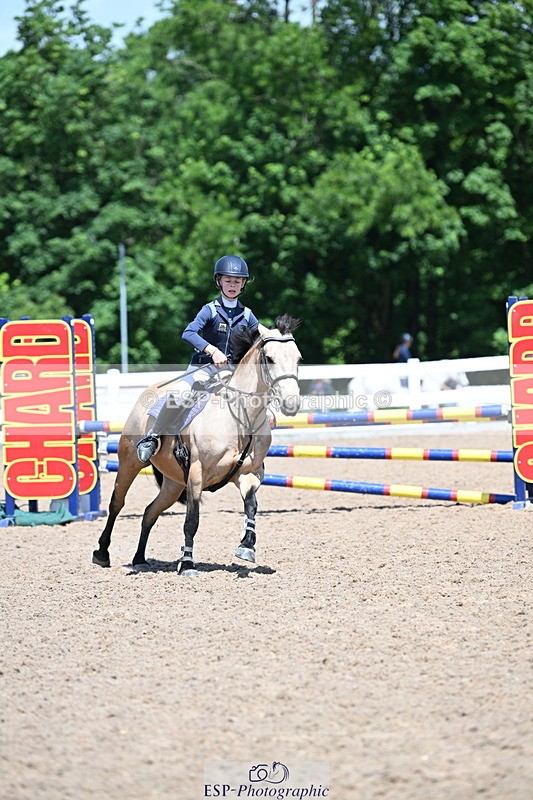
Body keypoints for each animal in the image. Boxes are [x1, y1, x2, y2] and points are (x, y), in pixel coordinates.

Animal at [92, 315, 301, 575]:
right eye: (270, 358)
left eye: (298, 359)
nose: (292, 404)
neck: (241, 417)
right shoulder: (196, 474)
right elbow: (192, 520)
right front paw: (188, 564)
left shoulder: (248, 474)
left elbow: (251, 505)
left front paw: (247, 546)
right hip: (129, 463)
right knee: (116, 504)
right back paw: (102, 553)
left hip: (172, 484)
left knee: (150, 512)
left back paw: (139, 558)